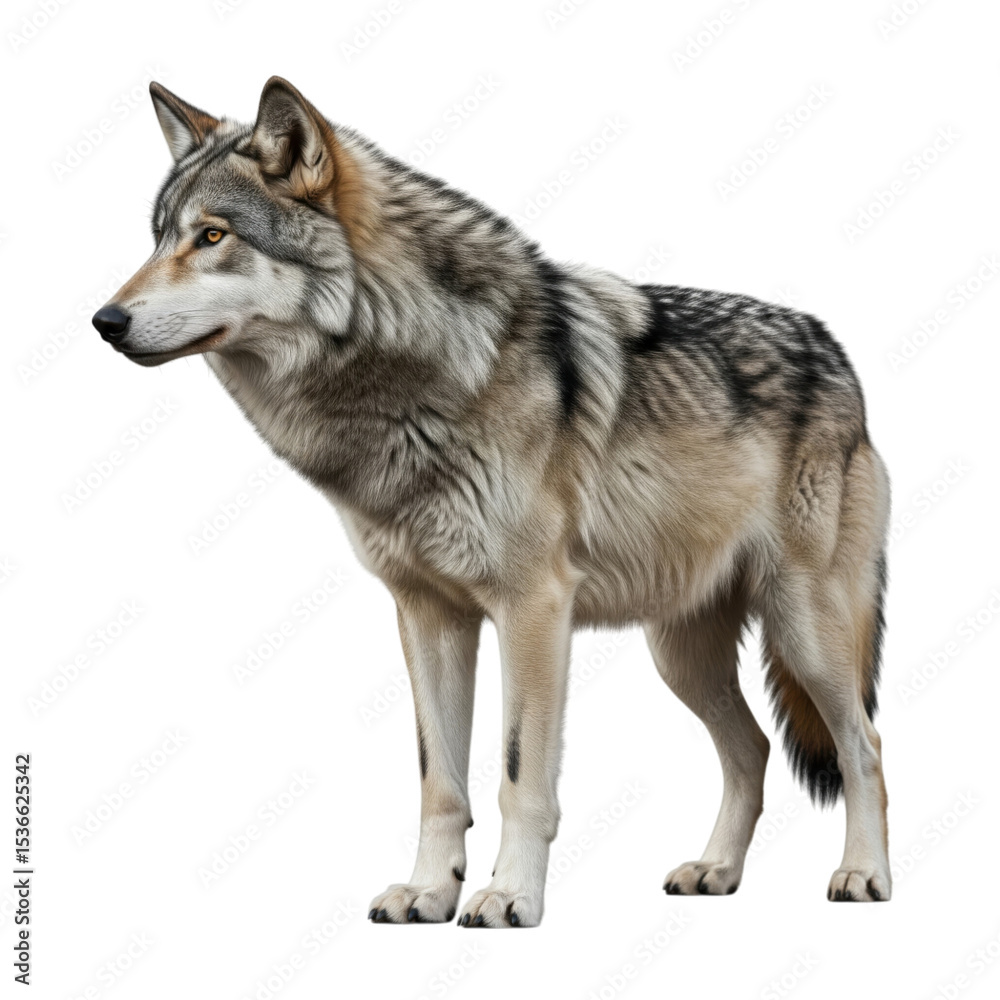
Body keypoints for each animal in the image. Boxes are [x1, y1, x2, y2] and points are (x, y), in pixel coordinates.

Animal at [93, 78, 892, 926]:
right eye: (157, 238)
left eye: (211, 235)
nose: (105, 321)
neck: (410, 378)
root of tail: (834, 349)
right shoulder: (427, 614)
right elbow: (438, 780)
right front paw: (427, 891)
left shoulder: (532, 607)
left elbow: (517, 775)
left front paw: (510, 895)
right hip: (680, 656)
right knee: (753, 749)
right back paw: (715, 871)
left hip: (806, 630)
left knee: (863, 746)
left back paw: (863, 875)